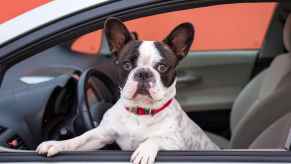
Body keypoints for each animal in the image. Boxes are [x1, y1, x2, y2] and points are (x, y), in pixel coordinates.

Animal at [36, 17, 219, 164]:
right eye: (126, 65)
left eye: (162, 67)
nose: (143, 73)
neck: (140, 112)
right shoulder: (101, 135)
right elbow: (82, 138)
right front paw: (56, 144)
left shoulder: (176, 143)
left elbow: (156, 138)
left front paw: (143, 151)